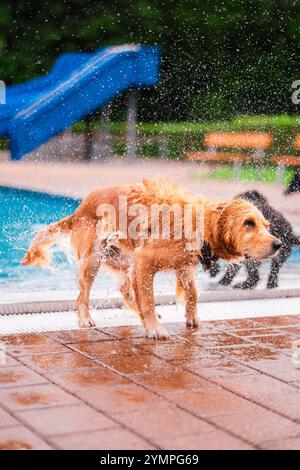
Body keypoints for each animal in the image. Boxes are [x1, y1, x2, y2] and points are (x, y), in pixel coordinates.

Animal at [22, 179, 282, 338]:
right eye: (248, 223)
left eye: (266, 225)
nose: (278, 244)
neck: (200, 225)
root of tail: (78, 210)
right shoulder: (145, 260)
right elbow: (148, 299)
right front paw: (154, 329)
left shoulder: (182, 266)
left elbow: (192, 293)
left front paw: (192, 318)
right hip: (94, 260)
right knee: (81, 297)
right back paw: (85, 319)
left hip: (123, 259)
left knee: (125, 288)